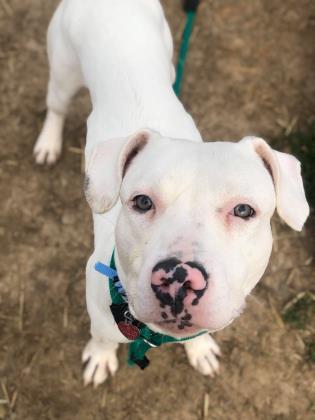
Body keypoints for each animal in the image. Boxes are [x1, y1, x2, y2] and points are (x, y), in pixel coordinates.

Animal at [34, 0, 308, 388]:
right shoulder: (98, 309)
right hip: (62, 72)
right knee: (55, 107)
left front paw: (200, 349)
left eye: (243, 210)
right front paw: (100, 357)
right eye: (142, 202)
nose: (178, 279)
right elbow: (101, 336)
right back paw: (48, 142)